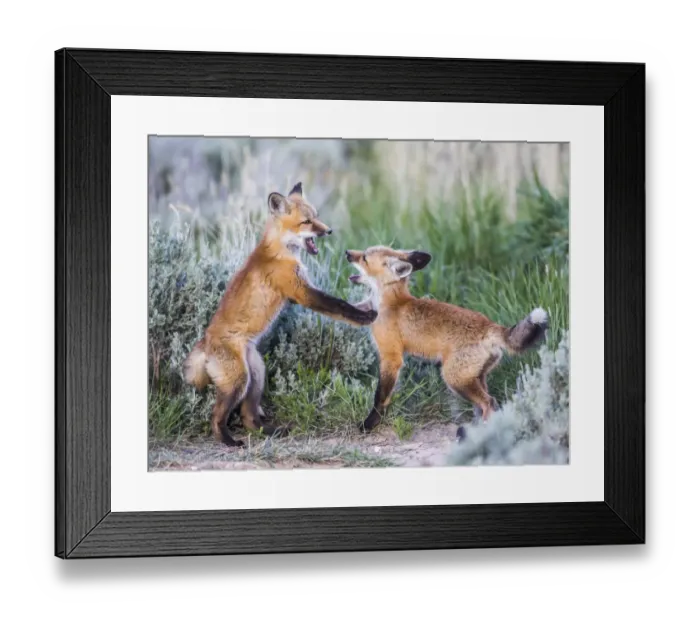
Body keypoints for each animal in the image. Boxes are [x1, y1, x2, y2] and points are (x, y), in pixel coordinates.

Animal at [183, 182, 378, 447]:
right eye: (307, 222)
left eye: (316, 216)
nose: (328, 231)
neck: (281, 251)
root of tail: (205, 342)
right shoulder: (301, 292)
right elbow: (339, 305)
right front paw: (363, 317)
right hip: (238, 382)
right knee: (216, 417)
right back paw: (229, 441)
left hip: (256, 375)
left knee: (249, 417)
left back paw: (270, 432)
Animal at [344, 245, 548, 434]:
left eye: (364, 258)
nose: (347, 253)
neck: (389, 303)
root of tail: (490, 325)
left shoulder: (391, 356)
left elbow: (381, 396)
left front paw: (370, 423)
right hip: (475, 377)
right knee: (486, 406)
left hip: (454, 378)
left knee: (489, 403)